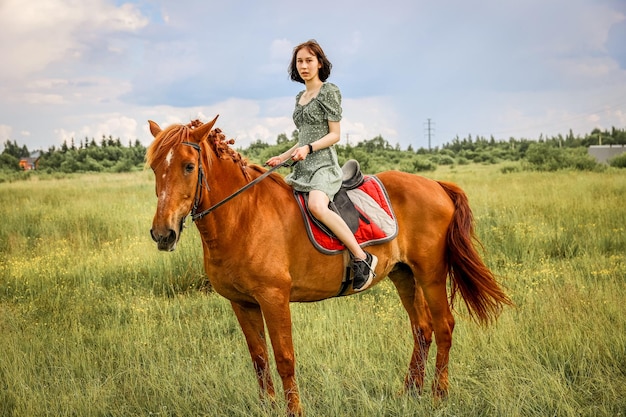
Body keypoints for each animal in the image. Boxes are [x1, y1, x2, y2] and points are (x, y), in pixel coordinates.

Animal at [146, 115, 512, 414]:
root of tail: (436, 184)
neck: (243, 215)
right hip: (404, 275)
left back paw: (438, 397)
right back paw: (409, 392)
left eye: (189, 166)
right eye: (154, 168)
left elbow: (284, 359)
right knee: (422, 329)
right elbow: (260, 359)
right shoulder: (242, 303)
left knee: (444, 326)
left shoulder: (274, 298)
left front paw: (293, 411)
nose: (163, 233)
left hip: (431, 275)